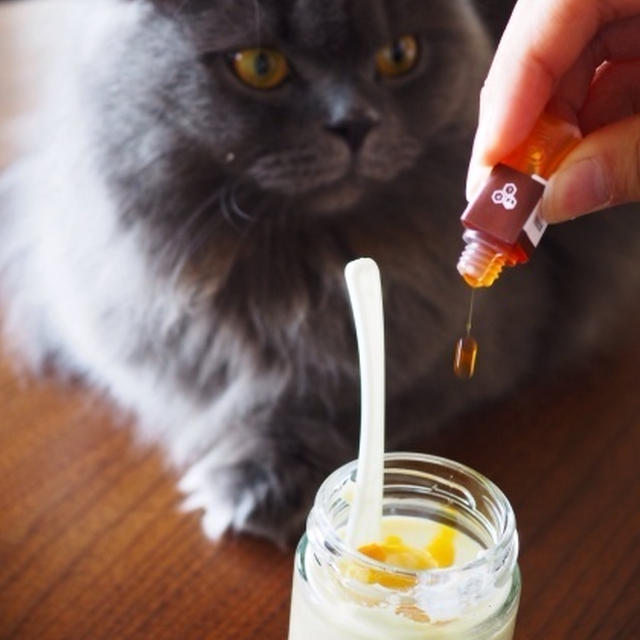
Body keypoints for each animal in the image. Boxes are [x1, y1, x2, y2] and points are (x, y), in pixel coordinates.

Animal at [2, 0, 636, 544]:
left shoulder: (476, 343)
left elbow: (348, 388)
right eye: (260, 66)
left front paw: (260, 479)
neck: (289, 274)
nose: (354, 123)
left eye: (399, 55)